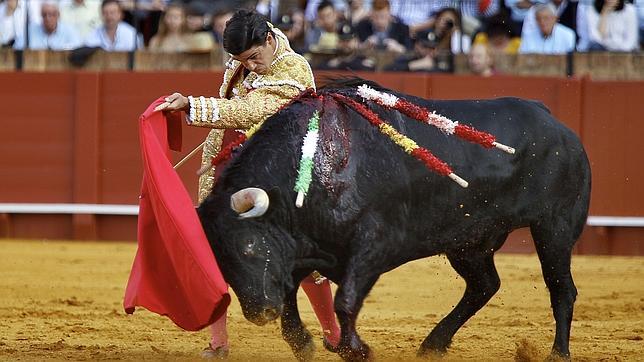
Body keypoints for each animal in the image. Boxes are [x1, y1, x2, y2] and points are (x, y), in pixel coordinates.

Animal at [199, 82, 592, 362]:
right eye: (219, 262)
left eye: (249, 245)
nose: (259, 313)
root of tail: (554, 121)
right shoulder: (305, 249)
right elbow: (292, 294)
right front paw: (305, 344)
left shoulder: (373, 246)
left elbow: (344, 300)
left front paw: (356, 350)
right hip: (469, 240)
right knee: (484, 285)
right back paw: (433, 344)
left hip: (554, 228)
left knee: (562, 289)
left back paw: (558, 353)